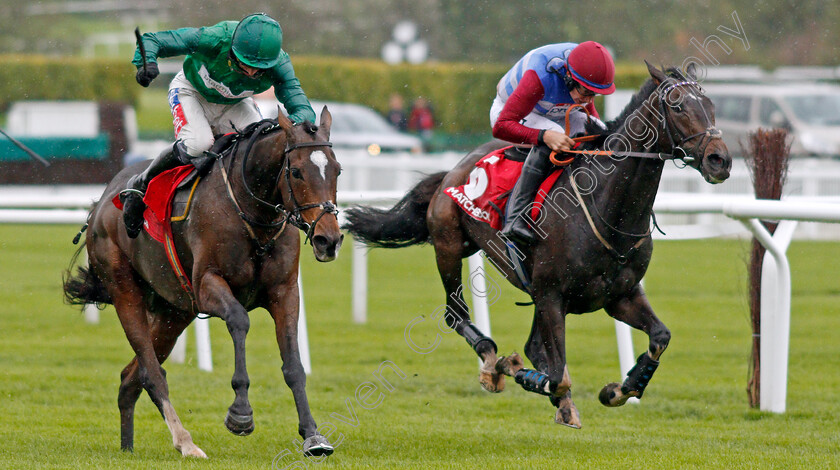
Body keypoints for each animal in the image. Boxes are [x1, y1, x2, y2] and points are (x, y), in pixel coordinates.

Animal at [63, 109, 342, 456]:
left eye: (337, 170)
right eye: (296, 171)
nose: (329, 240)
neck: (253, 215)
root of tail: (101, 202)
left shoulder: (285, 292)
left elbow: (293, 364)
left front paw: (313, 435)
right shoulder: (207, 285)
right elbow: (239, 319)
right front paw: (240, 414)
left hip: (174, 312)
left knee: (130, 378)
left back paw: (128, 447)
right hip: (125, 290)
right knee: (151, 372)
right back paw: (185, 442)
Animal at [344, 63, 732, 430]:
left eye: (712, 106)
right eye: (677, 106)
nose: (720, 160)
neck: (608, 208)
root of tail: (451, 171)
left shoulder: (619, 296)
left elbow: (660, 337)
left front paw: (619, 389)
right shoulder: (551, 295)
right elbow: (557, 376)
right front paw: (510, 369)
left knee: (531, 342)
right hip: (450, 246)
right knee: (456, 315)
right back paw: (491, 360)